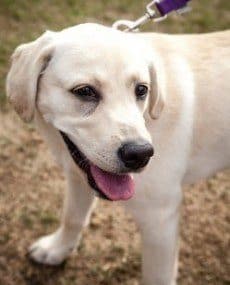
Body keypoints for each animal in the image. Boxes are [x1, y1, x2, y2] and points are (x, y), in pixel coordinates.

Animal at [5, 25, 230, 284]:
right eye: (84, 91)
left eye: (142, 90)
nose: (140, 154)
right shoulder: (78, 179)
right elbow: (72, 217)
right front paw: (57, 249)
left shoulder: (160, 218)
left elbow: (156, 276)